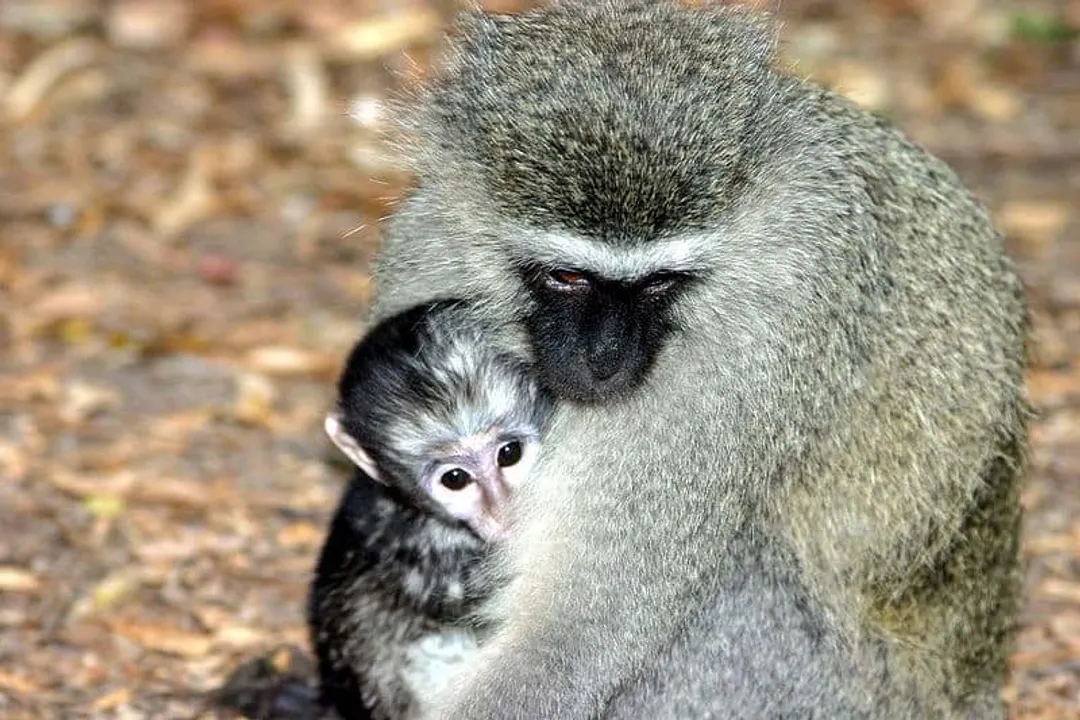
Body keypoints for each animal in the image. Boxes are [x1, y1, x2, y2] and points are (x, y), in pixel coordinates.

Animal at [366, 1, 1029, 717]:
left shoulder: (772, 323)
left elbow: (579, 628)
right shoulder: (428, 242)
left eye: (659, 284)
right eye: (567, 277)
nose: (604, 359)